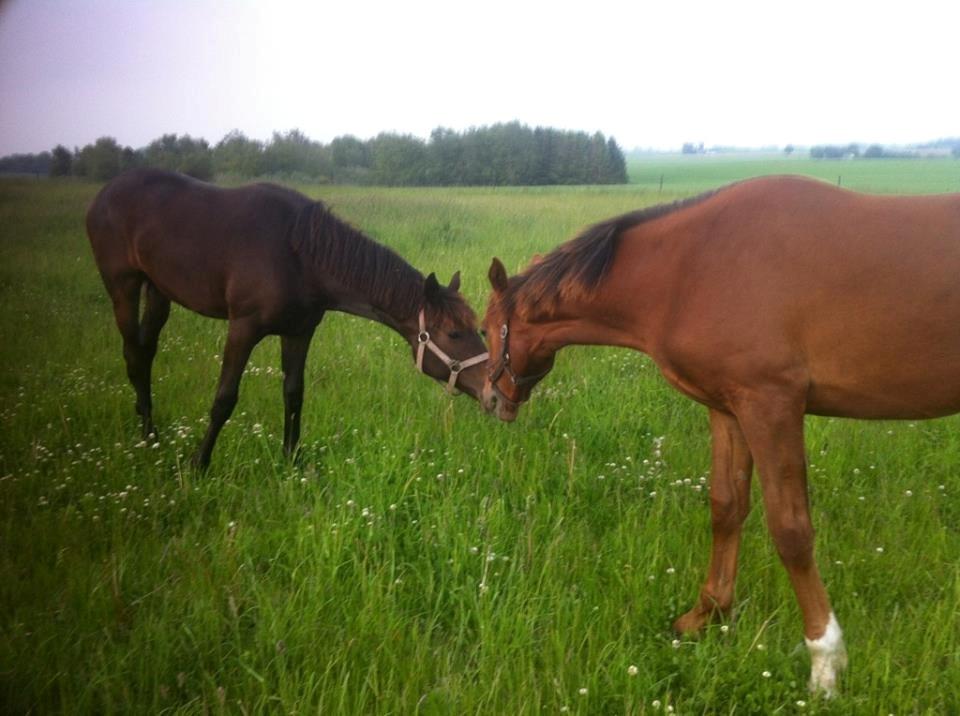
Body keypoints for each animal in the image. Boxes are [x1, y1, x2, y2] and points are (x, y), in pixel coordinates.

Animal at [88, 169, 488, 470]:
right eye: (454, 333)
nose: (492, 390)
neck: (298, 255)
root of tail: (105, 192)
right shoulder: (243, 328)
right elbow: (225, 397)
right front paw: (198, 464)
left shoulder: (299, 331)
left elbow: (294, 394)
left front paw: (292, 459)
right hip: (123, 286)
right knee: (134, 356)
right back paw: (149, 437)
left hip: (159, 291)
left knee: (145, 352)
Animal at [484, 176, 960, 696]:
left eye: (485, 330)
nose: (491, 399)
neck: (690, 268)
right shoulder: (729, 409)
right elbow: (726, 507)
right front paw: (707, 616)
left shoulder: (771, 404)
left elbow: (791, 530)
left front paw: (825, 661)